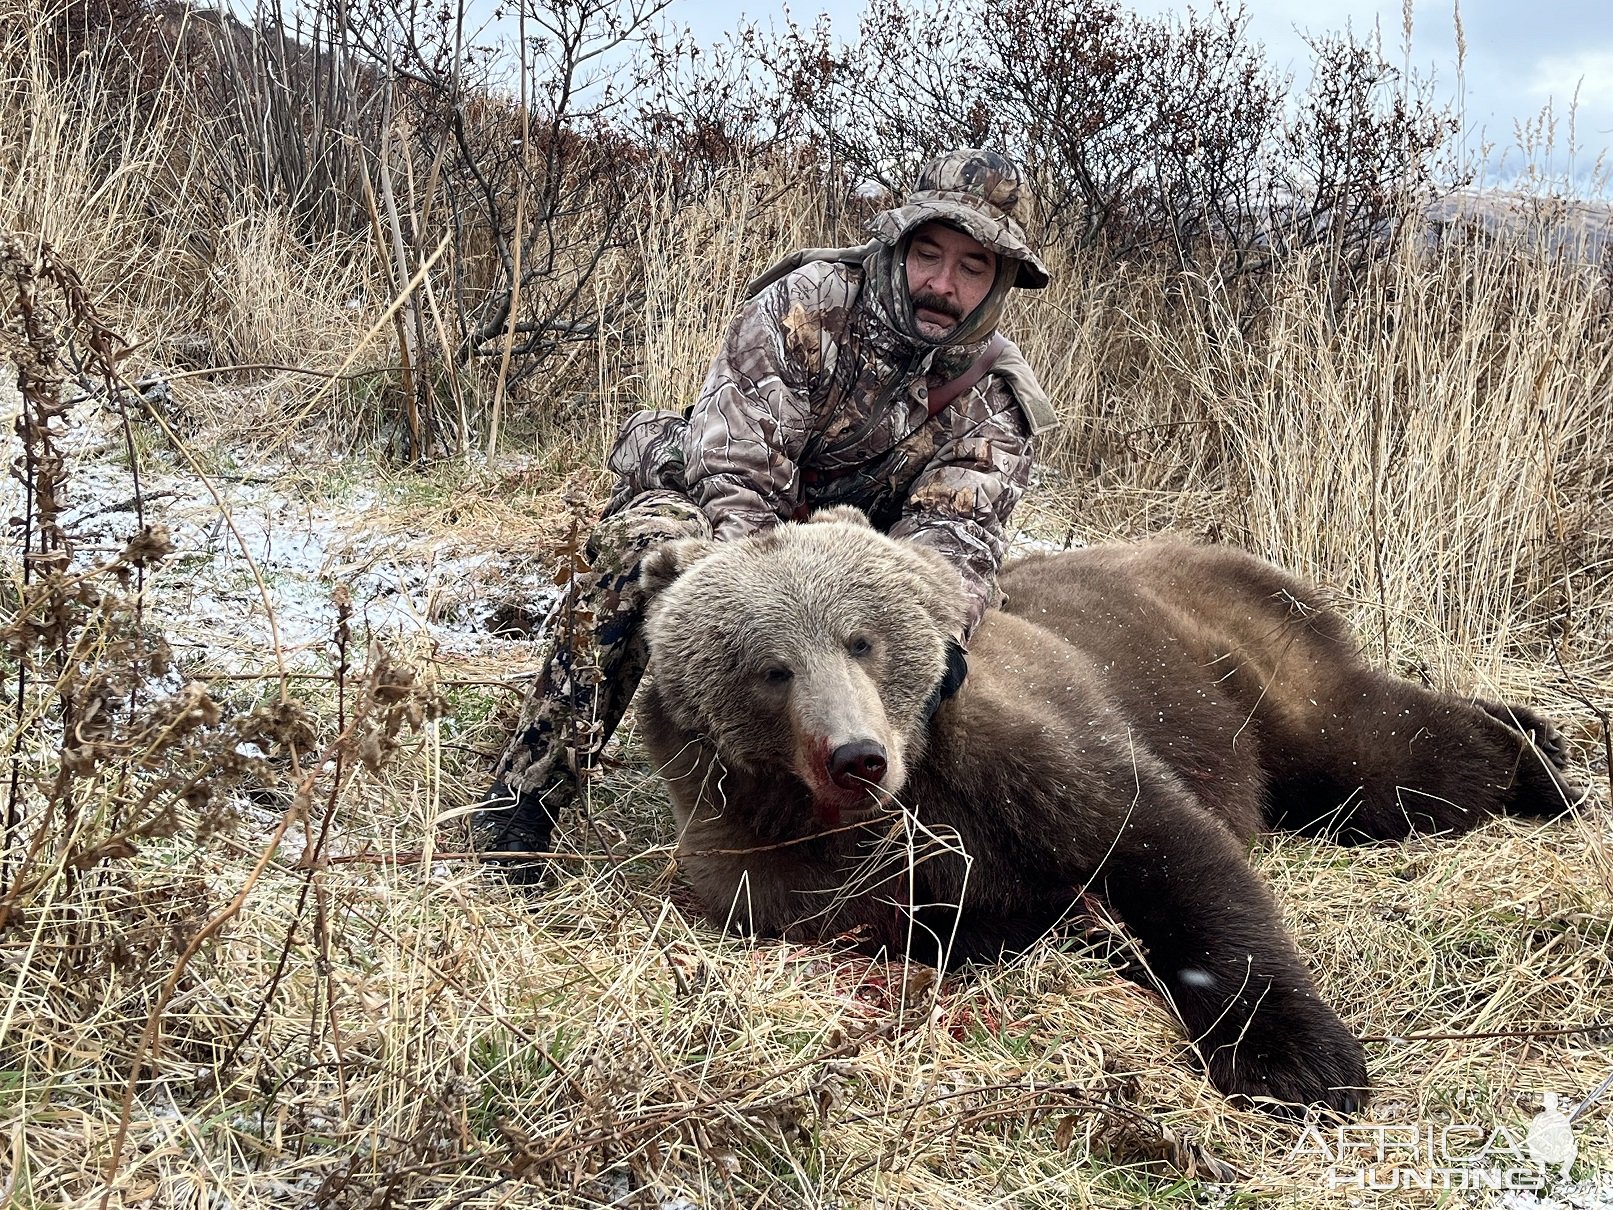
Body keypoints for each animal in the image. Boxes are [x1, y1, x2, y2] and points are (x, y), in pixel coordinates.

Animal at [635, 506, 1580, 1116]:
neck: (894, 807)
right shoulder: (782, 872)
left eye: (860, 638)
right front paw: (1076, 925)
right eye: (770, 667)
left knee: (1386, 756)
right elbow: (937, 916)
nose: (856, 755)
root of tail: (1238, 558)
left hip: (1239, 671)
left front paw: (1298, 1064)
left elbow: (1170, 852)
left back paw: (1542, 765)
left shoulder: (1030, 751)